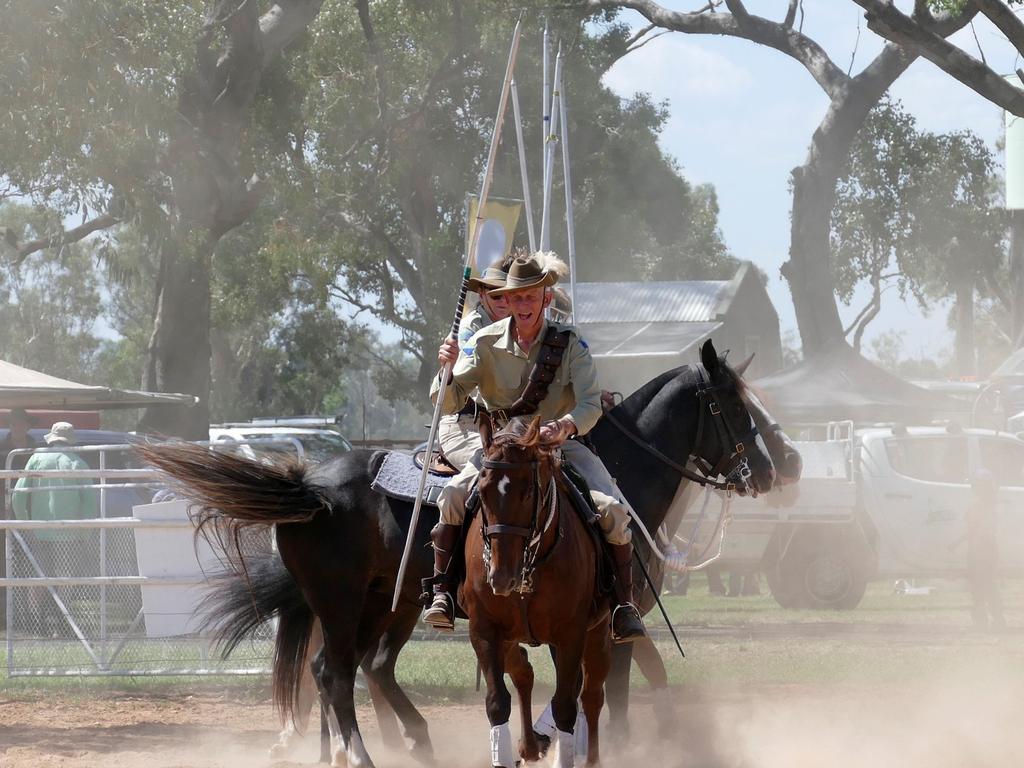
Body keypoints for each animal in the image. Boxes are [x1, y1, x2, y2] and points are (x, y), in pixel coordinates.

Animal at [466, 417, 610, 765]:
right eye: (482, 490)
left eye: (528, 490)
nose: (501, 576)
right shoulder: (484, 630)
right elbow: (497, 701)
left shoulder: (571, 634)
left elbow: (565, 705)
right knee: (524, 673)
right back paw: (529, 747)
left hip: (598, 634)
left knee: (591, 695)